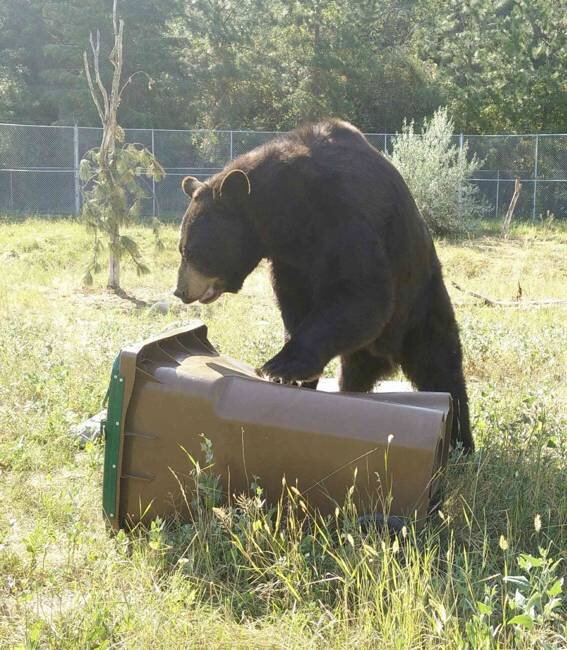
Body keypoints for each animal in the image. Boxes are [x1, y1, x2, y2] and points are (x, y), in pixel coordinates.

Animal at [174, 117, 474, 450]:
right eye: (181, 248)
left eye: (191, 251)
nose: (180, 291)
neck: (288, 216)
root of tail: (386, 356)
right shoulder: (290, 261)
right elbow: (296, 303)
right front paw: (296, 373)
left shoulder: (344, 213)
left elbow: (363, 291)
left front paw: (279, 367)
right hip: (364, 351)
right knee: (355, 375)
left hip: (420, 306)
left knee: (441, 367)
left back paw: (461, 441)